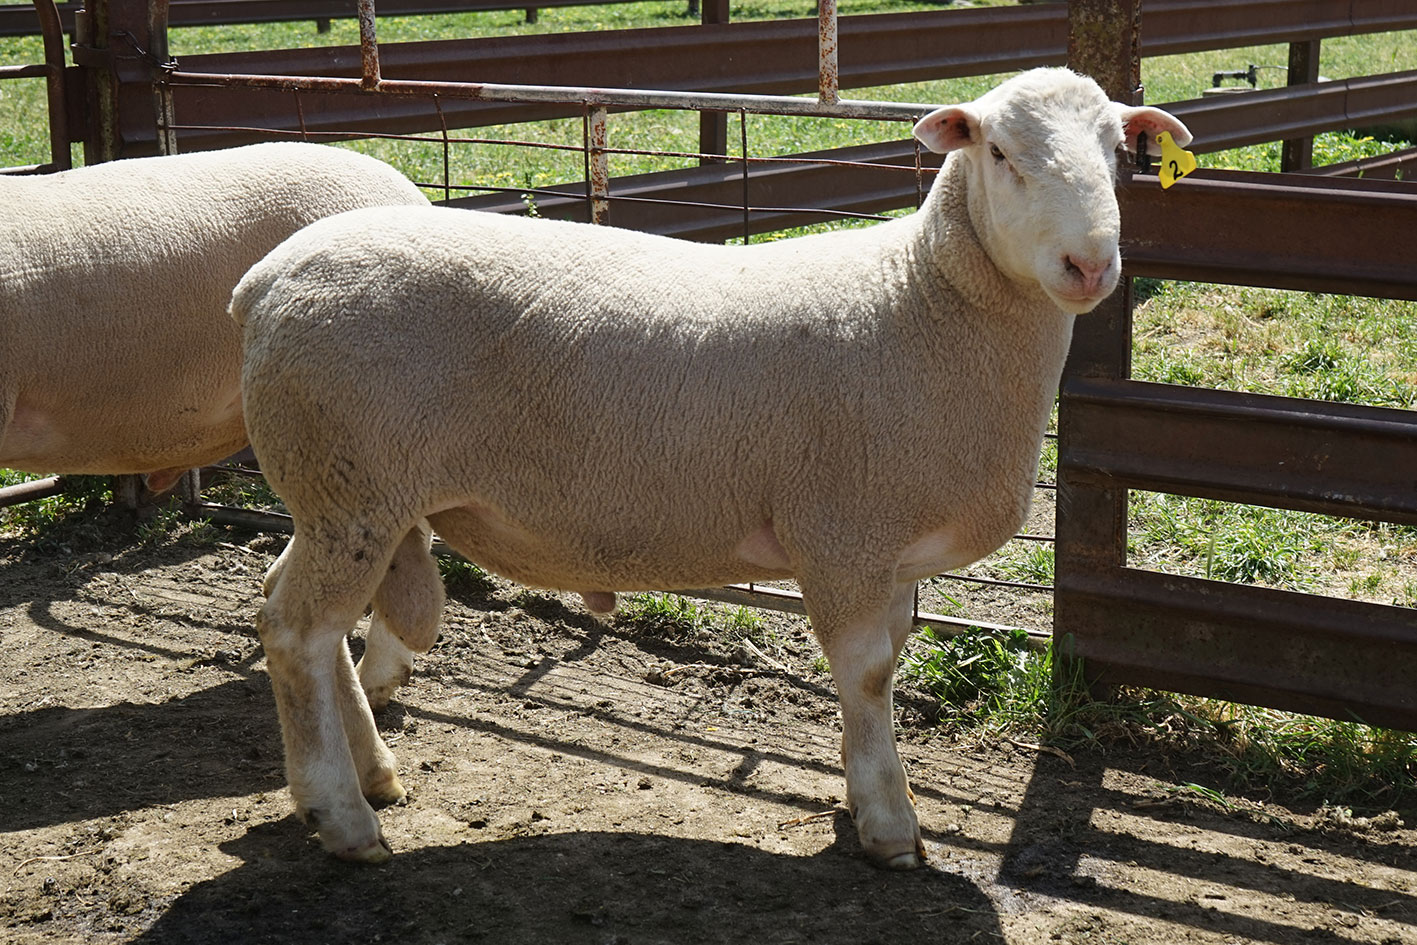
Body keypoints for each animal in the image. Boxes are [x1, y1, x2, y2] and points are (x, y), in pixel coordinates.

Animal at [235, 70, 1195, 872]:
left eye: (1118, 153)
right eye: (998, 152)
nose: (1089, 265)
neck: (919, 297)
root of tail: (265, 281)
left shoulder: (885, 549)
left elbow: (886, 666)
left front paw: (863, 793)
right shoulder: (840, 531)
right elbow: (867, 673)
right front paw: (889, 827)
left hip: (340, 493)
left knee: (299, 614)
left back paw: (372, 772)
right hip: (352, 486)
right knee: (296, 630)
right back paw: (343, 817)